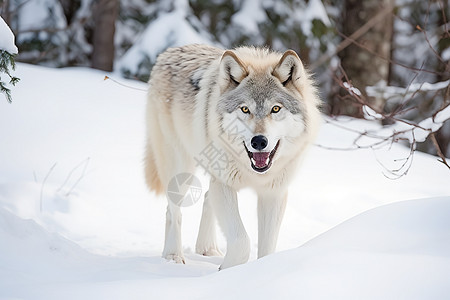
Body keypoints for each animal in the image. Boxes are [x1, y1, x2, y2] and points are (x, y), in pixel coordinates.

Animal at [144, 44, 320, 270]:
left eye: (275, 108)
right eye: (245, 109)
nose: (259, 141)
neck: (254, 172)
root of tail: (169, 51)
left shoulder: (273, 193)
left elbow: (267, 248)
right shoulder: (224, 185)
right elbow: (241, 241)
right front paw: (226, 270)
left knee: (206, 198)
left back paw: (207, 249)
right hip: (180, 168)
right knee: (173, 211)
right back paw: (173, 256)